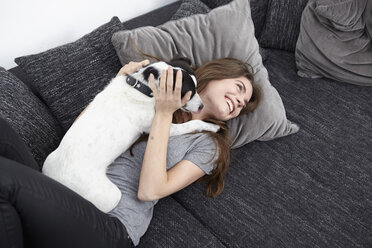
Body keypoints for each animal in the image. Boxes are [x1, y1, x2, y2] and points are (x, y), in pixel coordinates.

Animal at [42, 57, 219, 212]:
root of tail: (53, 178)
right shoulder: (158, 127)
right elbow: (193, 123)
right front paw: (212, 126)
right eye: (189, 93)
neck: (143, 87)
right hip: (110, 196)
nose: (202, 106)